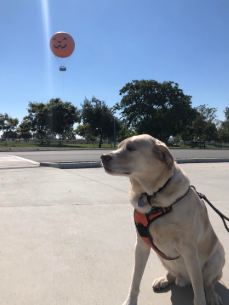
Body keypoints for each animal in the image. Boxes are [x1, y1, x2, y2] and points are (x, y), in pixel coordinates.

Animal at [100, 134, 225, 304]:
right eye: (119, 146)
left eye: (131, 148)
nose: (103, 157)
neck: (152, 197)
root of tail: (183, 279)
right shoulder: (141, 246)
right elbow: (135, 279)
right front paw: (130, 300)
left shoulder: (189, 250)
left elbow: (198, 290)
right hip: (163, 257)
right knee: (173, 274)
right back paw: (164, 280)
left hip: (218, 257)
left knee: (207, 283)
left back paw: (212, 295)